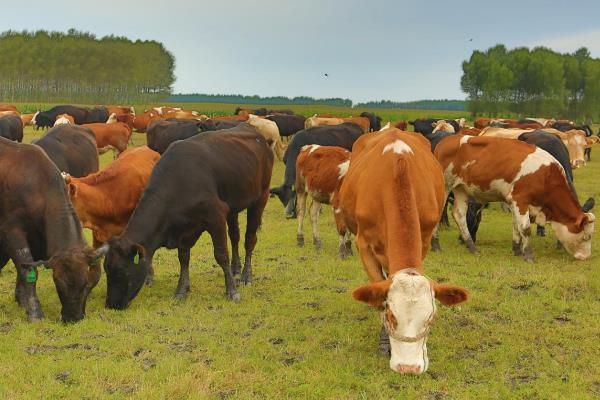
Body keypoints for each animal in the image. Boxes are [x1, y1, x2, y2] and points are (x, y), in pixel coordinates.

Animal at [0, 138, 106, 322]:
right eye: (59, 284)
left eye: (85, 284)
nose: (73, 318)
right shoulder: (12, 232)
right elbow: (27, 271)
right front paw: (35, 312)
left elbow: (23, 269)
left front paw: (22, 300)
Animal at [102, 125, 274, 310]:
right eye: (106, 269)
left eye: (120, 272)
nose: (110, 304)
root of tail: (253, 130)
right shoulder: (185, 229)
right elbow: (183, 257)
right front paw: (182, 289)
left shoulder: (216, 216)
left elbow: (221, 254)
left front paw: (232, 291)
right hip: (233, 206)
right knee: (235, 236)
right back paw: (235, 269)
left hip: (260, 198)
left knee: (250, 239)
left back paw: (245, 276)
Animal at [332, 129, 468, 376]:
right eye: (390, 315)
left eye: (431, 319)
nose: (408, 367)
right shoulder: (364, 245)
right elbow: (378, 292)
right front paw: (384, 342)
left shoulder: (424, 240)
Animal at [432, 134, 596, 260]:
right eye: (585, 237)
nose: (585, 257)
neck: (546, 176)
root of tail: (447, 140)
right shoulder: (520, 200)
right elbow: (525, 228)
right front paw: (529, 255)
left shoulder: (515, 202)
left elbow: (517, 226)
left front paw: (517, 250)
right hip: (445, 187)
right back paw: (436, 245)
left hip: (461, 190)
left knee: (459, 215)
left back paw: (472, 246)